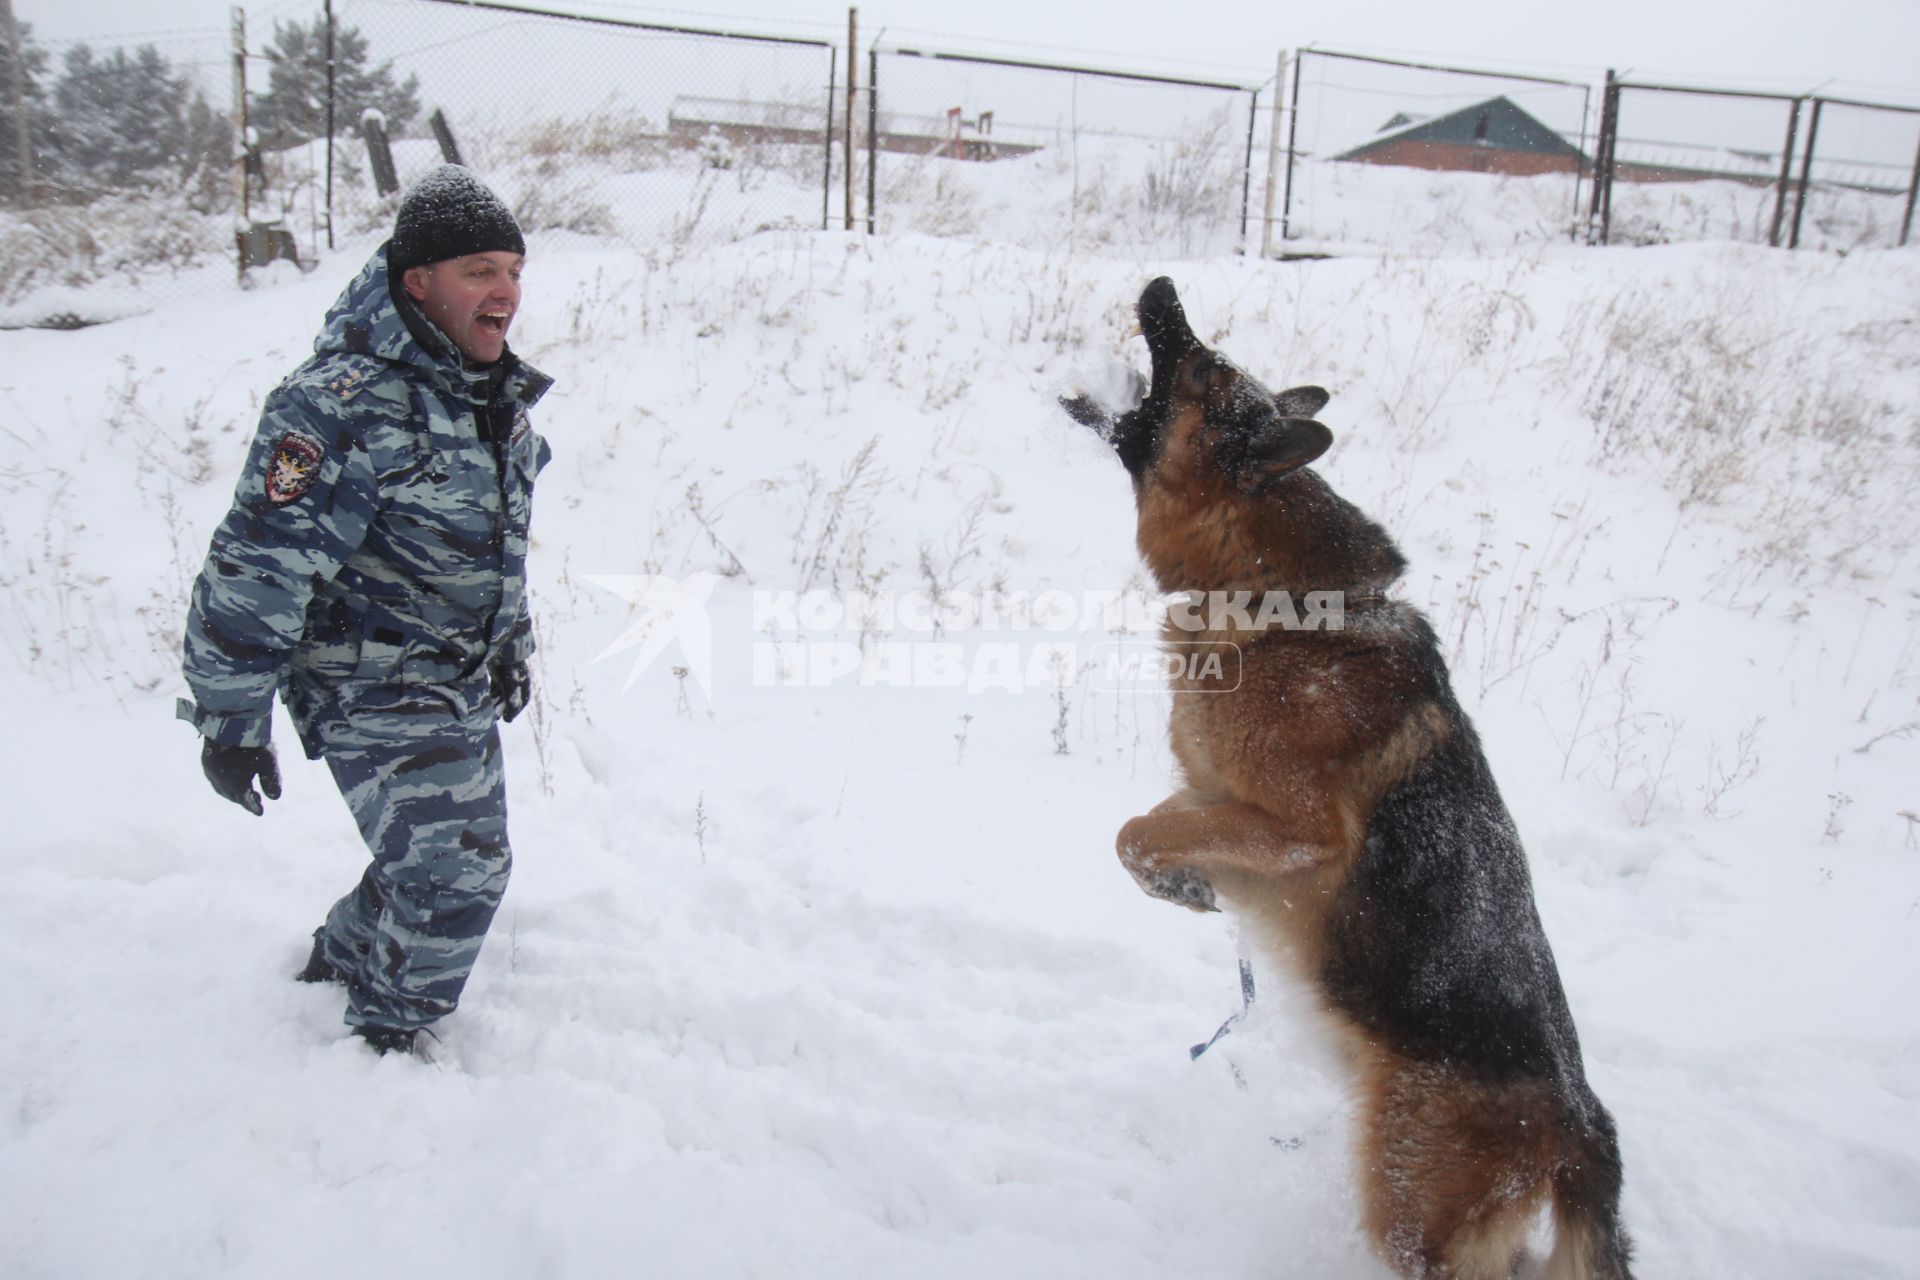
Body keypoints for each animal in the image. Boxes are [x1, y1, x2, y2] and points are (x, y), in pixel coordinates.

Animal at [1067, 280, 1635, 1280]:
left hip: (1408, 1206)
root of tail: (1581, 1119)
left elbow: (1134, 829)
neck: (1280, 604)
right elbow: (1145, 832)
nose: (1163, 288)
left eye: (1204, 369)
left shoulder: (1294, 829)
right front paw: (1188, 890)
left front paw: (1183, 883)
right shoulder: (1212, 798)